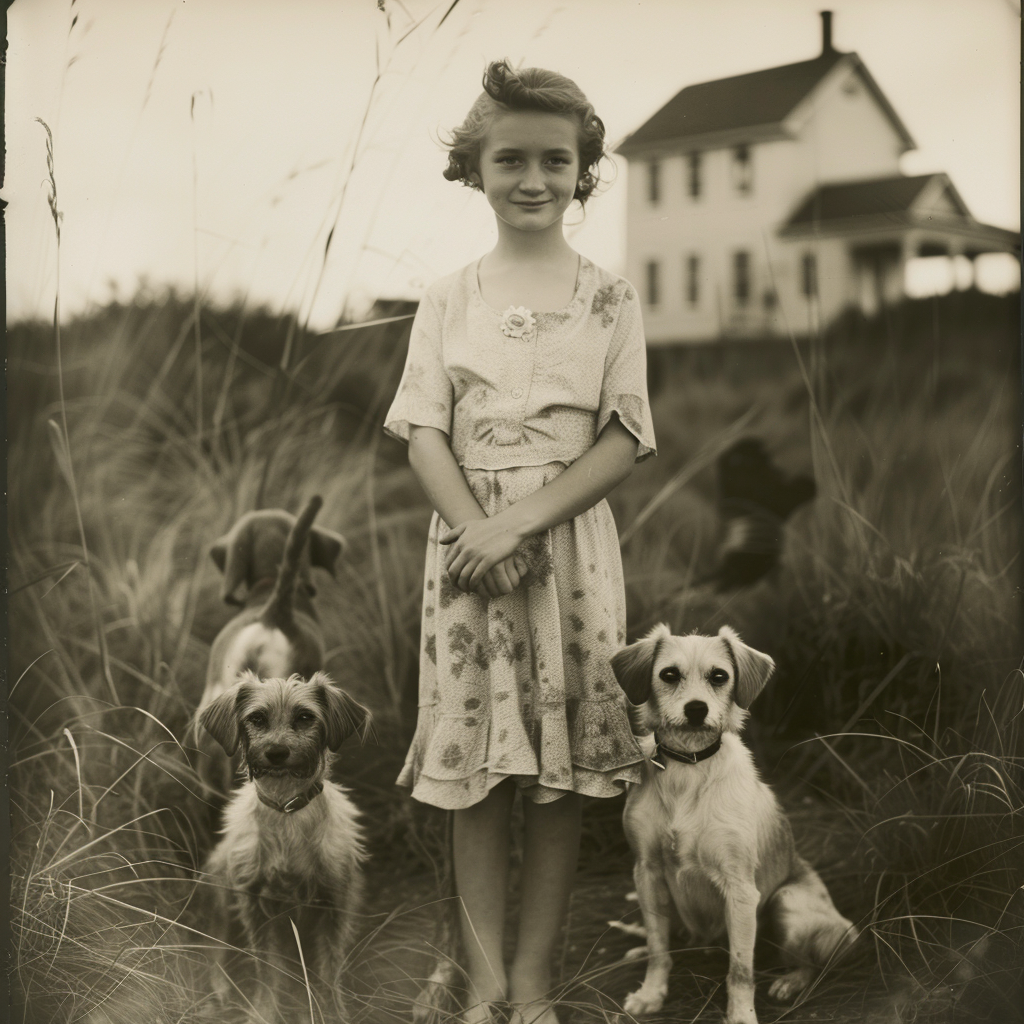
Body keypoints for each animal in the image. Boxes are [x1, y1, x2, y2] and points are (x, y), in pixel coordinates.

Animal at [197, 671, 370, 1024]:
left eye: (305, 717)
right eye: (256, 719)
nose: (277, 752)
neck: (287, 809)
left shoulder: (335, 902)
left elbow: (330, 970)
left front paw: (332, 1012)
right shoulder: (255, 904)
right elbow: (266, 971)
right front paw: (263, 1012)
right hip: (219, 893)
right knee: (215, 953)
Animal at [606, 622, 856, 1024]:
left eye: (719, 676)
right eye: (669, 675)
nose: (696, 709)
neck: (689, 767)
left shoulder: (739, 889)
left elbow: (740, 970)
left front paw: (741, 1015)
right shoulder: (647, 872)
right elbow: (659, 948)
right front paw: (651, 993)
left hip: (787, 902)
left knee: (809, 963)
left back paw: (789, 981)